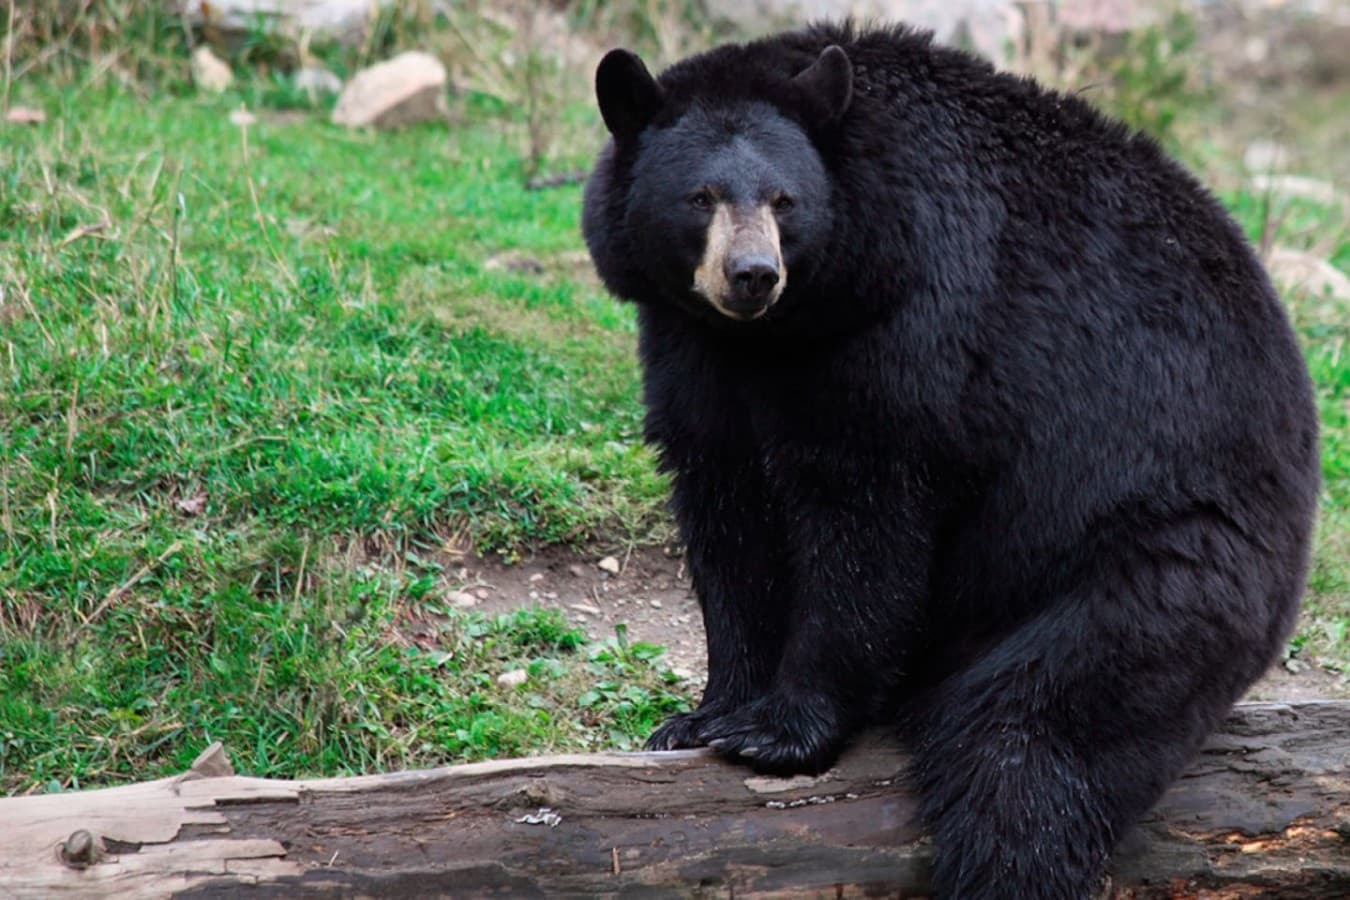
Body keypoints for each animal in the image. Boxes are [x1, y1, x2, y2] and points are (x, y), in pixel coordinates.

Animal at [581, 21, 1319, 900]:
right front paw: (703, 715)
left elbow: (866, 511)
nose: (752, 275)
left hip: (1154, 565)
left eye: (785, 200)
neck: (786, 327)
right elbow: (726, 509)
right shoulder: (692, 345)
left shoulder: (909, 322)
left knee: (1024, 752)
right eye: (701, 197)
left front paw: (782, 729)